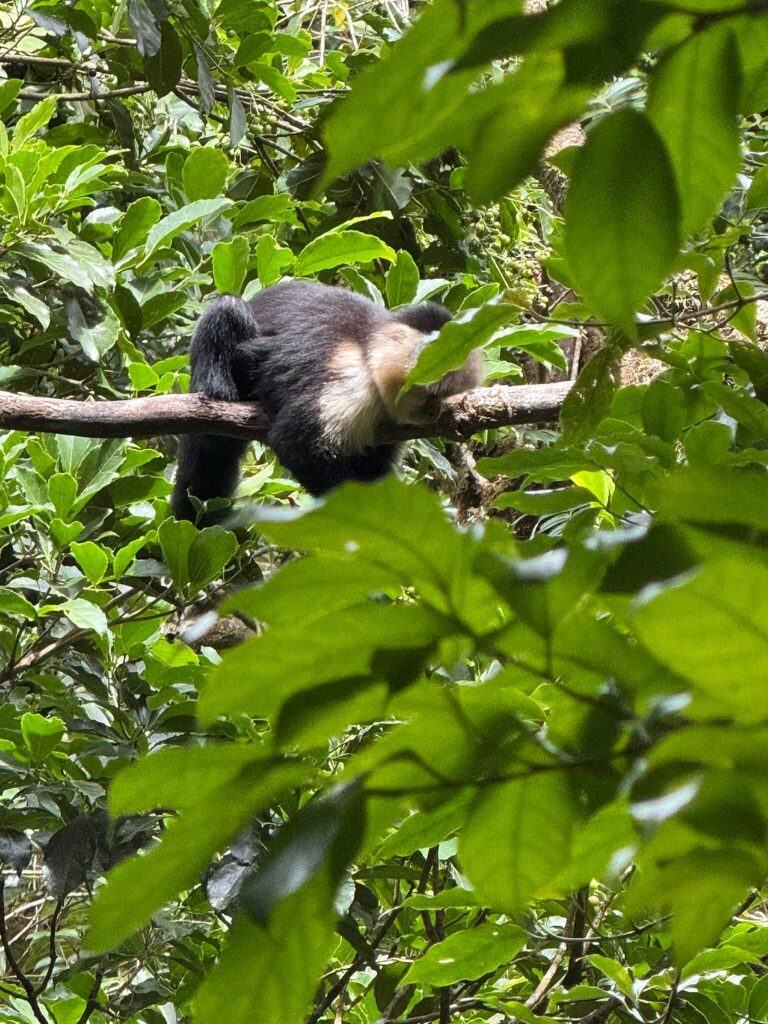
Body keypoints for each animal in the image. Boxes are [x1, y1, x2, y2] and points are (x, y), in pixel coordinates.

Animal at [171, 280, 483, 520]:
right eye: (431, 395)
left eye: (444, 397)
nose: (434, 414)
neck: (368, 350)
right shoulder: (350, 381)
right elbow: (297, 442)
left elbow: (373, 468)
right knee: (230, 307)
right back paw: (219, 390)